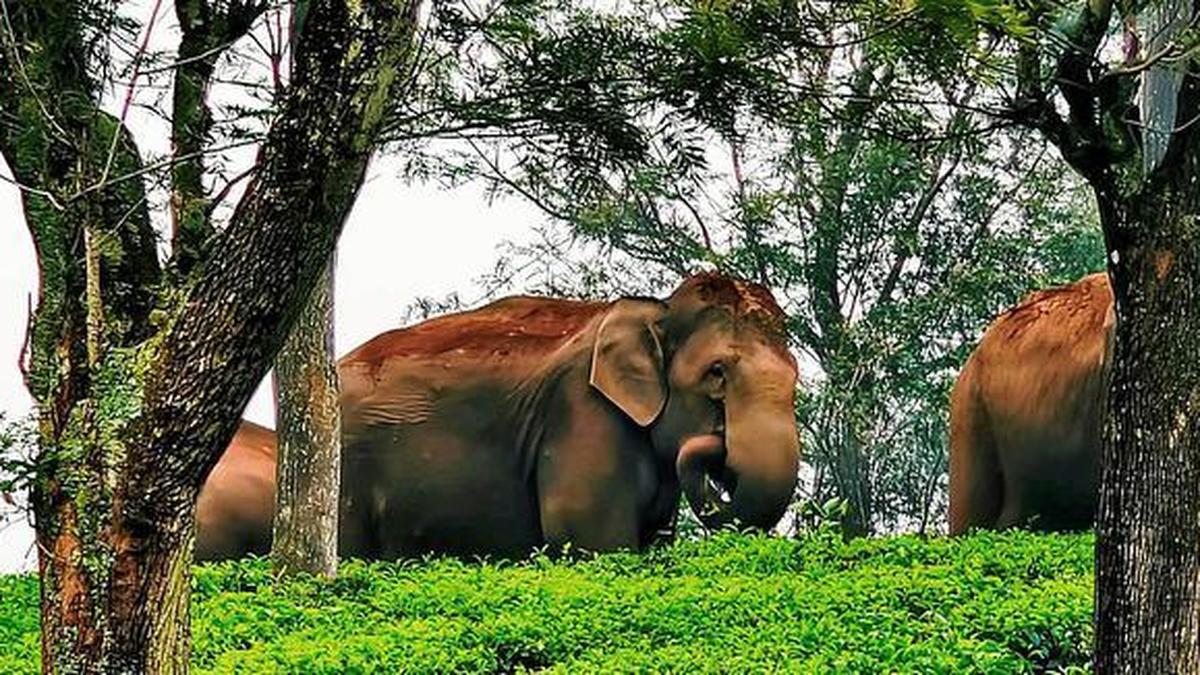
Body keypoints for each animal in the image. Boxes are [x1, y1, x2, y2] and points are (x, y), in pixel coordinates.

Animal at [195, 272, 800, 560]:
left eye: (797, 378)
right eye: (717, 374)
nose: (717, 446)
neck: (652, 308)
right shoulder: (583, 417)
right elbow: (592, 541)